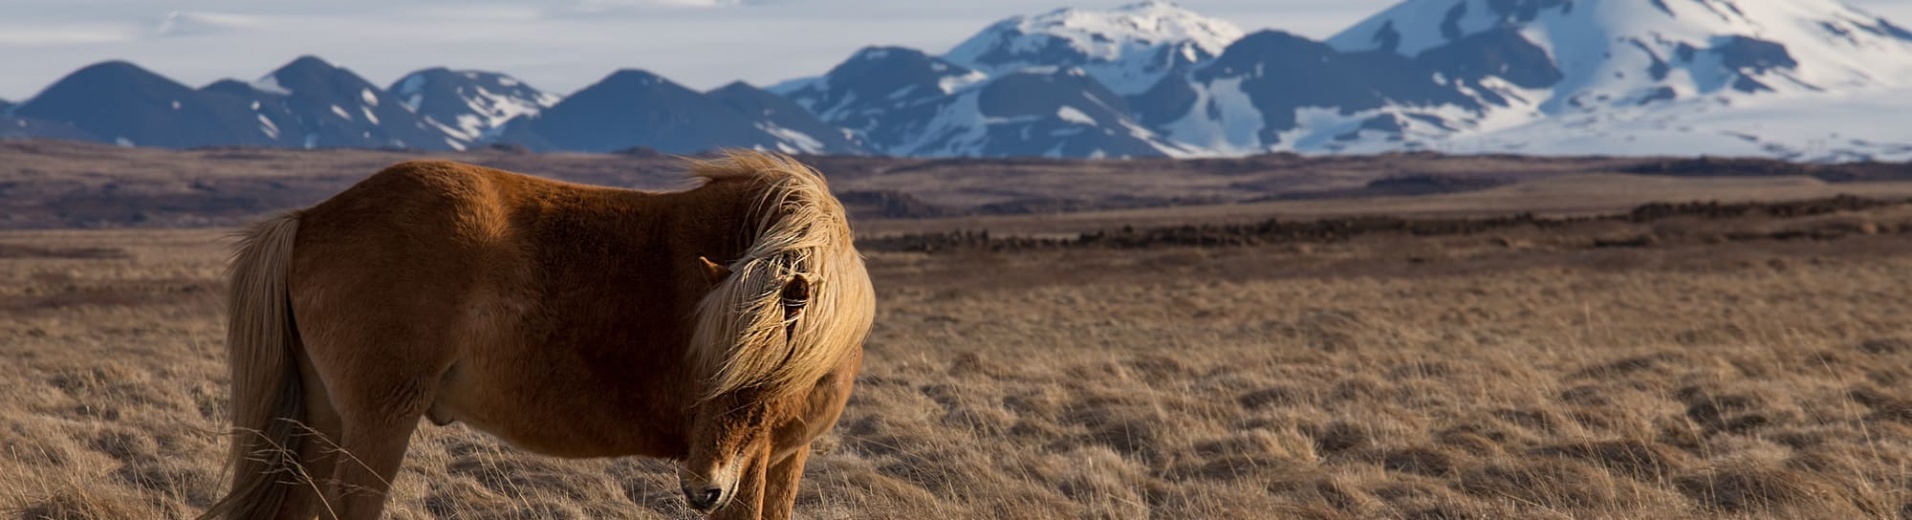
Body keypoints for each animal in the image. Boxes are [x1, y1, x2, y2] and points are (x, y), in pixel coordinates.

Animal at [199, 151, 875, 520]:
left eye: (764, 376)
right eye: (704, 364)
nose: (699, 488)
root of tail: (308, 218)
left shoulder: (783, 457)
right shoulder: (749, 465)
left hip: (324, 420)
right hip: (379, 419)